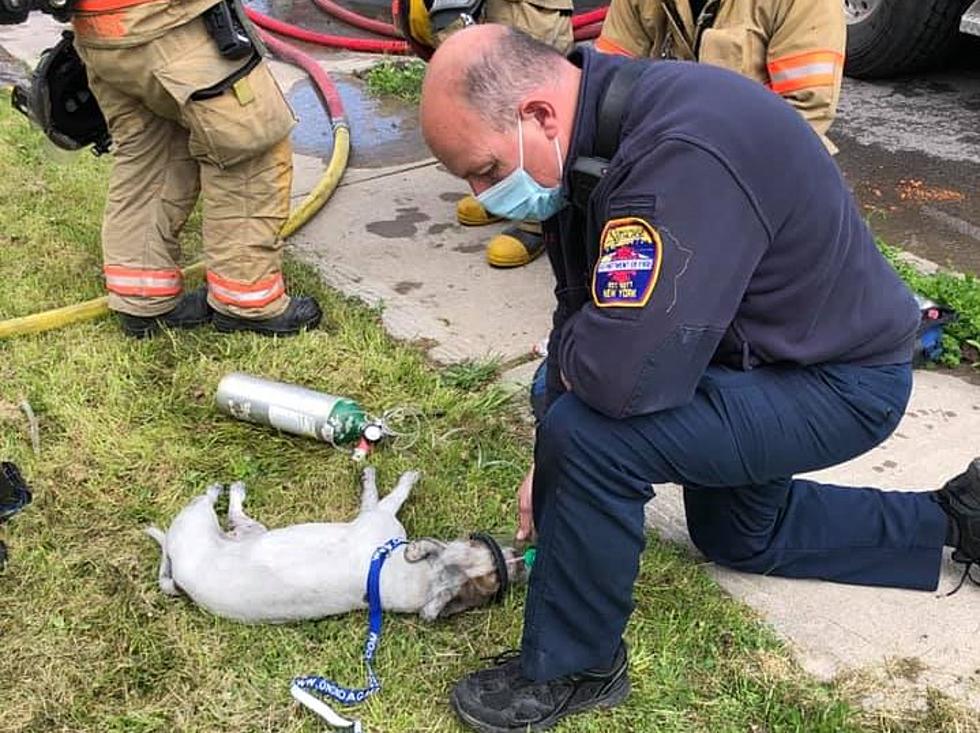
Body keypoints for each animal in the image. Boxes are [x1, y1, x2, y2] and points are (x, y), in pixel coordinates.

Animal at [145, 468, 524, 624]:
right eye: (480, 548)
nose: (520, 558)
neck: (422, 581)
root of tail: (178, 574)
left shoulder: (376, 515)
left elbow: (386, 494)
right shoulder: (377, 516)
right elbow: (386, 493)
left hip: (209, 523)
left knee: (221, 509)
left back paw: (224, 490)